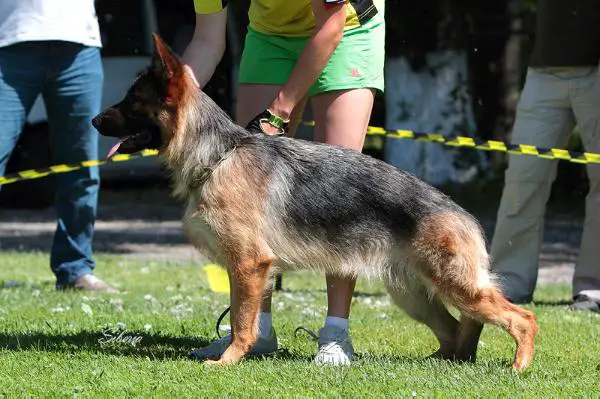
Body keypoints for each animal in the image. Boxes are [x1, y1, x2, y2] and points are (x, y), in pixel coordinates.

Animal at [92, 34, 540, 372]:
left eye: (131, 102)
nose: (94, 121)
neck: (217, 155)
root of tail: (464, 215)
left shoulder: (249, 264)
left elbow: (239, 319)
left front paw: (228, 361)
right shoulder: (250, 270)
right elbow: (245, 315)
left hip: (456, 287)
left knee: (522, 318)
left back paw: (518, 367)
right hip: (413, 294)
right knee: (455, 332)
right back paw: (439, 362)